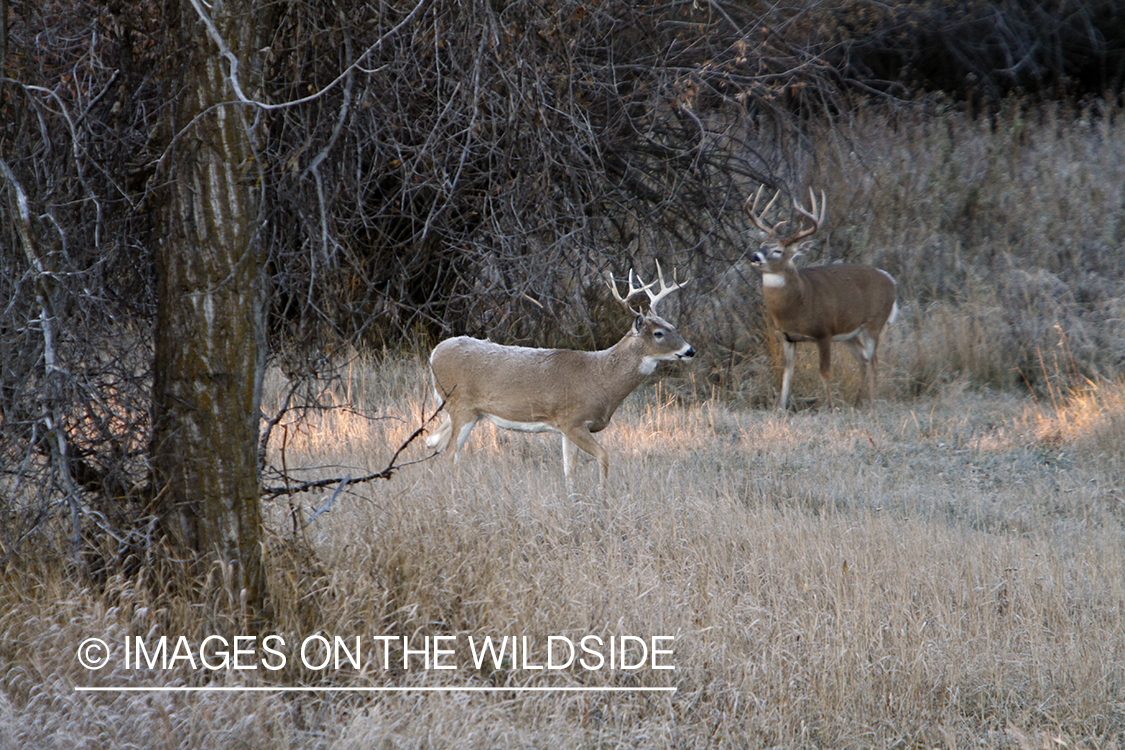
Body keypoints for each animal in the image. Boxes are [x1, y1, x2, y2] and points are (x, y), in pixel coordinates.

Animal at [425, 264, 693, 488]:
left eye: (674, 327)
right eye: (658, 333)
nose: (690, 350)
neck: (602, 379)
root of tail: (434, 353)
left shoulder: (567, 428)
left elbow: (569, 470)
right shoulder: (573, 420)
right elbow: (604, 456)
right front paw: (603, 494)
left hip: (457, 409)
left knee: (432, 442)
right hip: (463, 407)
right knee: (450, 452)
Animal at [747, 187, 895, 411]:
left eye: (777, 250)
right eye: (761, 244)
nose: (755, 256)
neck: (798, 304)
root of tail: (890, 280)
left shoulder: (823, 332)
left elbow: (824, 371)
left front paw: (830, 407)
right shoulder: (786, 336)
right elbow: (787, 373)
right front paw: (781, 408)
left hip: (874, 323)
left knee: (874, 361)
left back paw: (870, 403)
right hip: (850, 332)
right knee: (863, 359)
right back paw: (858, 401)